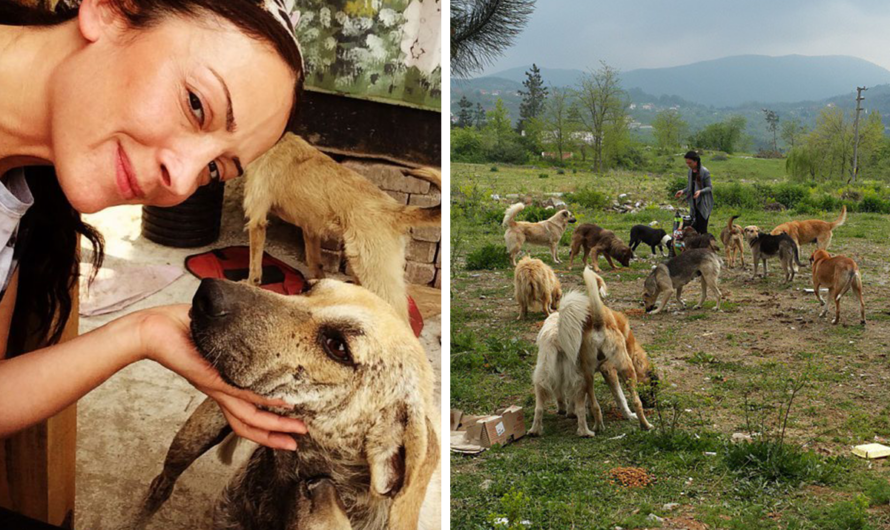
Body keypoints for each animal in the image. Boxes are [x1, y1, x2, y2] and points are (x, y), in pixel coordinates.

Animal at [243, 132, 440, 322]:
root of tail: (394, 210)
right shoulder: (310, 229)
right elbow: (316, 265)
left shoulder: (257, 220)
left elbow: (254, 266)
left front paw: (248, 285)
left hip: (374, 273)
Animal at [528, 266, 652, 436]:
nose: (652, 404)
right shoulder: (610, 370)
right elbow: (620, 396)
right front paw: (627, 414)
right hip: (584, 376)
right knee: (610, 403)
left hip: (550, 374)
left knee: (542, 404)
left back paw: (540, 427)